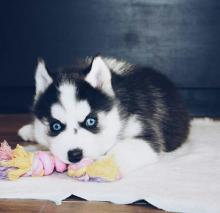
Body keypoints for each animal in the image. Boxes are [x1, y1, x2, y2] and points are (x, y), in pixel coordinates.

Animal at [18, 55, 189, 175]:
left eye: (91, 121)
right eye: (56, 126)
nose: (75, 155)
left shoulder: (145, 132)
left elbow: (120, 150)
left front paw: (101, 165)